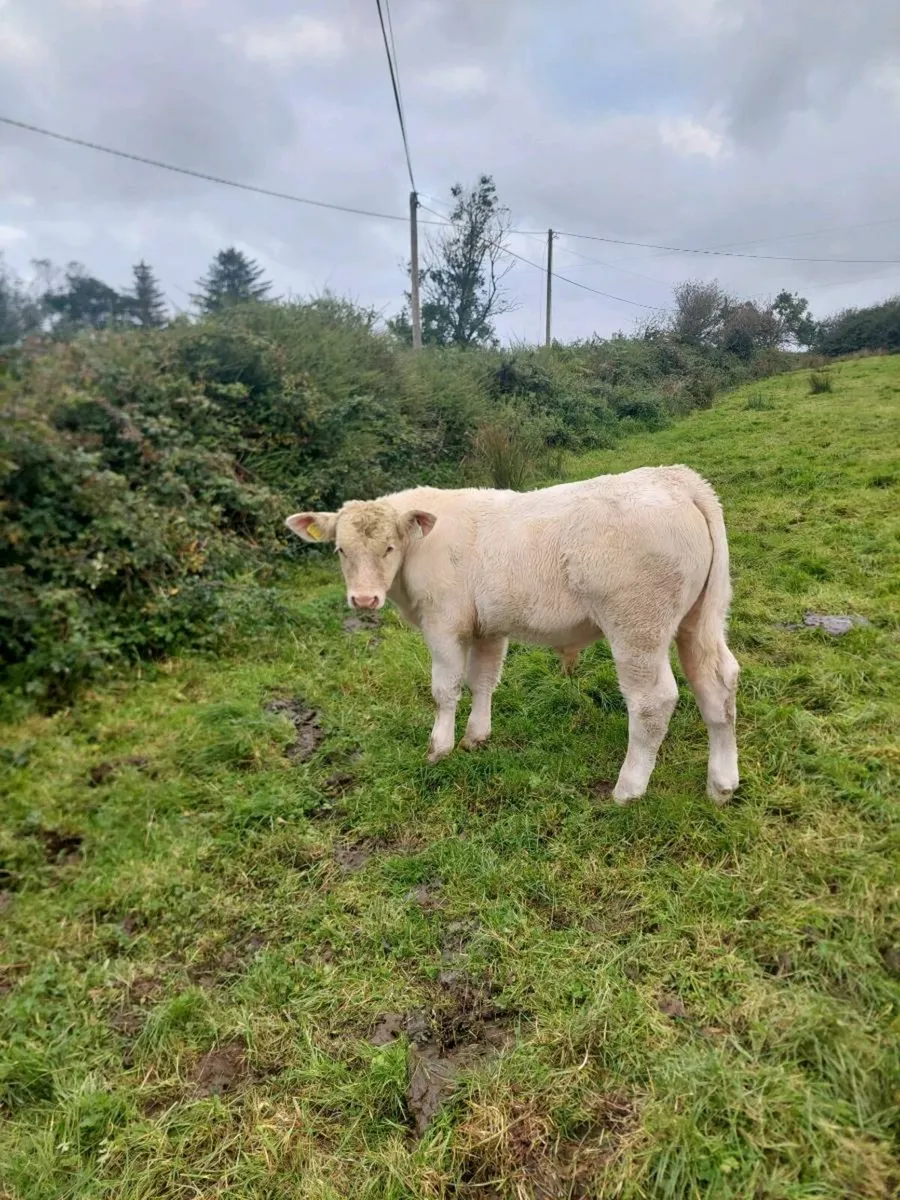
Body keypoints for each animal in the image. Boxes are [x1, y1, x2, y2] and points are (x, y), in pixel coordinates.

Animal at [285, 465, 739, 804]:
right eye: (341, 550)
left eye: (389, 548)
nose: (363, 599)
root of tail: (676, 478)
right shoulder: (487, 627)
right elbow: (483, 680)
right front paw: (476, 737)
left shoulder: (443, 623)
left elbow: (445, 688)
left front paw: (439, 747)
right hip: (697, 620)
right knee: (718, 682)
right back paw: (721, 785)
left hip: (637, 625)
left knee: (652, 702)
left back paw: (628, 789)